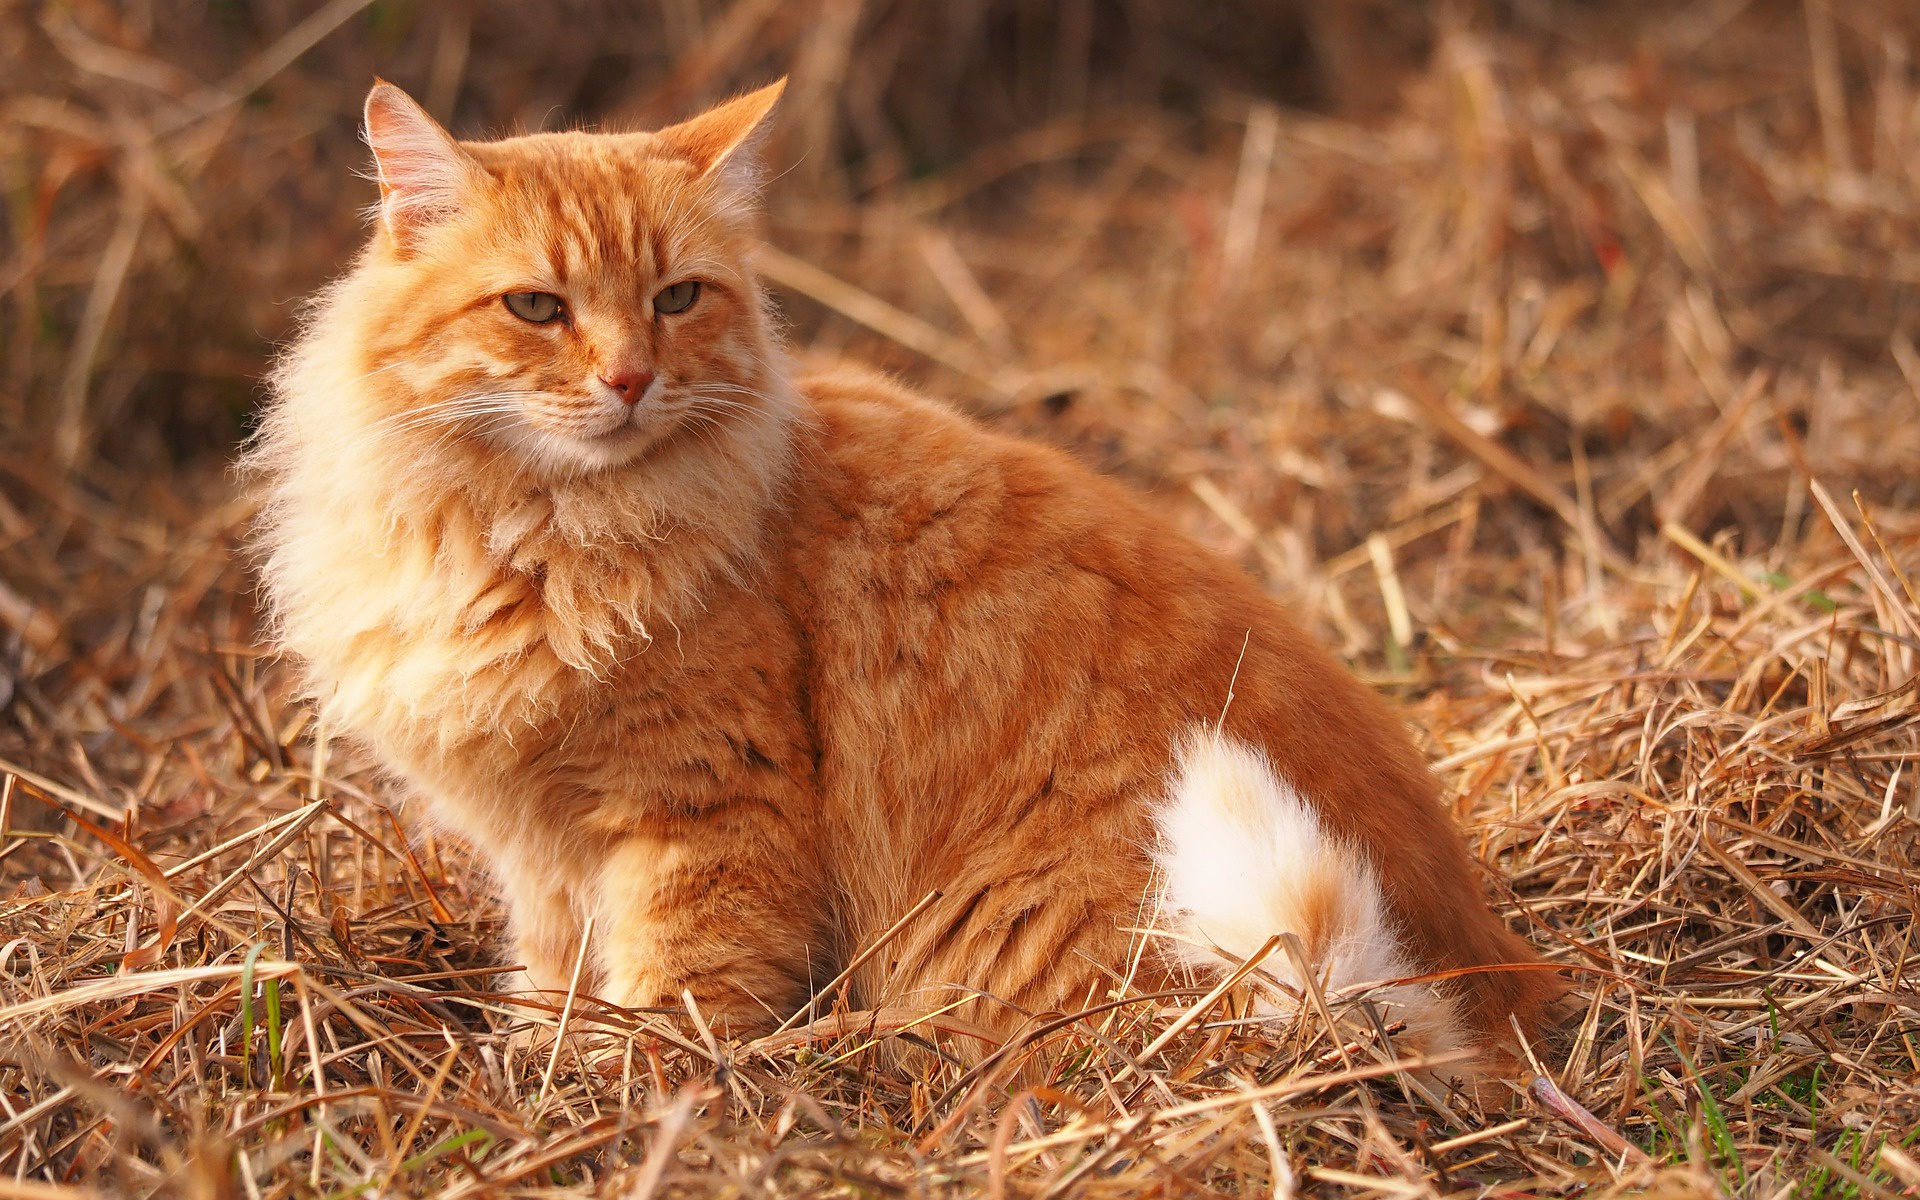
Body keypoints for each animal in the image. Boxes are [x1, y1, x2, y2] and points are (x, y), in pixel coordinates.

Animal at [247, 79, 1559, 1075]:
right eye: (535, 308)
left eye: (676, 299)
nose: (628, 380)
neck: (532, 536)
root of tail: (1489, 997)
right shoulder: (542, 849)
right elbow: (551, 969)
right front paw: (537, 1055)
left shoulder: (708, 809)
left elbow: (673, 995)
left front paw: (615, 1087)